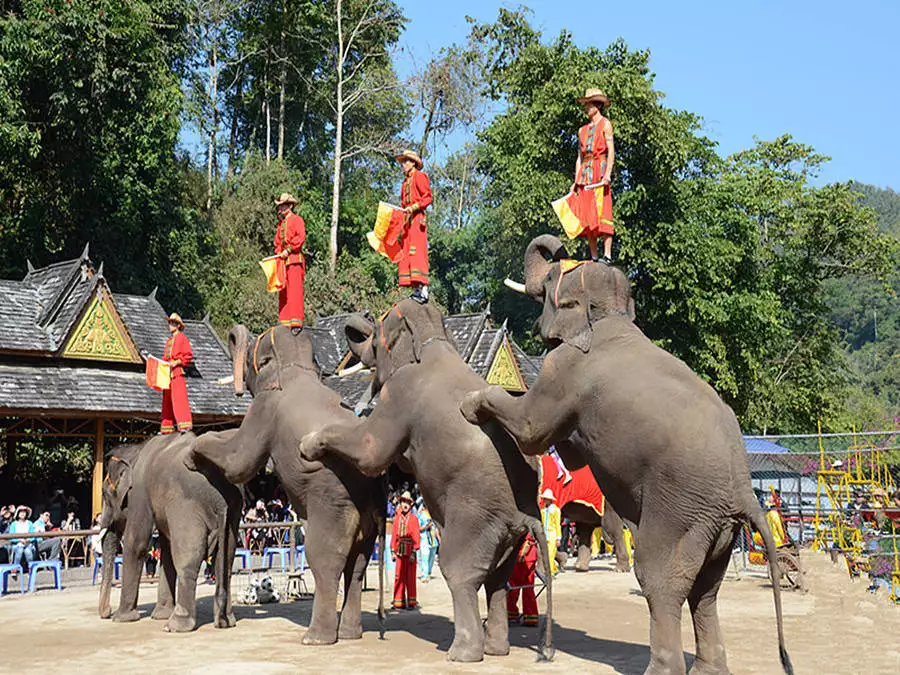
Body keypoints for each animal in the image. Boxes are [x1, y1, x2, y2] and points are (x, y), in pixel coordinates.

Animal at [98, 432, 241, 633]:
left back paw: (175, 626)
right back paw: (225, 623)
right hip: (232, 515)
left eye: (104, 494)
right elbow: (166, 550)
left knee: (187, 559)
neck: (136, 449)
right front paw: (159, 615)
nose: (106, 612)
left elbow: (137, 542)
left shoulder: (140, 492)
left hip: (187, 507)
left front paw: (121, 618)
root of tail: (222, 497)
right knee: (225, 562)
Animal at [185, 324, 386, 645]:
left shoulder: (265, 409)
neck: (296, 366)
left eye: (256, 359)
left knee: (325, 559)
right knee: (357, 565)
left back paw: (315, 638)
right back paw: (350, 634)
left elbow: (240, 463)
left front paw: (192, 456)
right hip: (367, 514)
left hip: (332, 503)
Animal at [299, 299, 553, 663]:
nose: (362, 315)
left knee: (460, 571)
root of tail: (525, 513)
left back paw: (461, 654)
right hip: (510, 535)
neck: (434, 335)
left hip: (477, 516)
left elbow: (371, 450)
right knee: (498, 579)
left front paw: (307, 445)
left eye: (377, 335)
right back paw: (496, 650)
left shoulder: (400, 393)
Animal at [461, 234, 792, 675]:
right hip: (717, 526)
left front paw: (469, 405)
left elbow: (532, 430)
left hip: (680, 512)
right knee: (706, 589)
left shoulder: (562, 370)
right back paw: (707, 668)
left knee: (660, 580)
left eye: (549, 281)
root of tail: (742, 491)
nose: (561, 245)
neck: (613, 315)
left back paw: (660, 669)